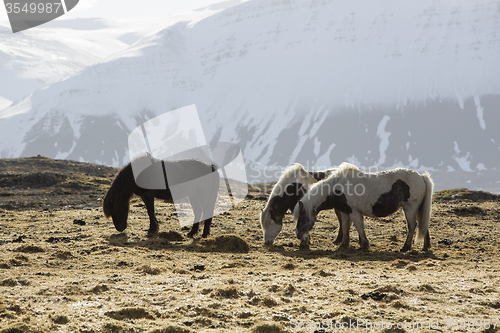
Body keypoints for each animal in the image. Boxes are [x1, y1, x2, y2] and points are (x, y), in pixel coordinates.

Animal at [292, 162, 434, 250]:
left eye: (302, 217)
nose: (298, 235)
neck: (336, 187)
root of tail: (421, 176)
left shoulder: (354, 212)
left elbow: (359, 227)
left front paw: (365, 245)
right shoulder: (345, 212)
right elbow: (345, 227)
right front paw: (344, 245)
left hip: (409, 208)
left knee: (413, 226)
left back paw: (405, 247)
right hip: (417, 209)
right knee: (423, 224)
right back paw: (425, 246)